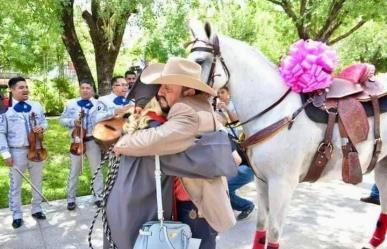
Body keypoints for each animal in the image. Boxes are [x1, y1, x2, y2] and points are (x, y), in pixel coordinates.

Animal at [188, 21, 387, 249]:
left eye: (199, 61)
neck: (275, 111)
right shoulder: (262, 181)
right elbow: (261, 227)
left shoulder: (282, 185)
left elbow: (274, 233)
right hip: (382, 166)